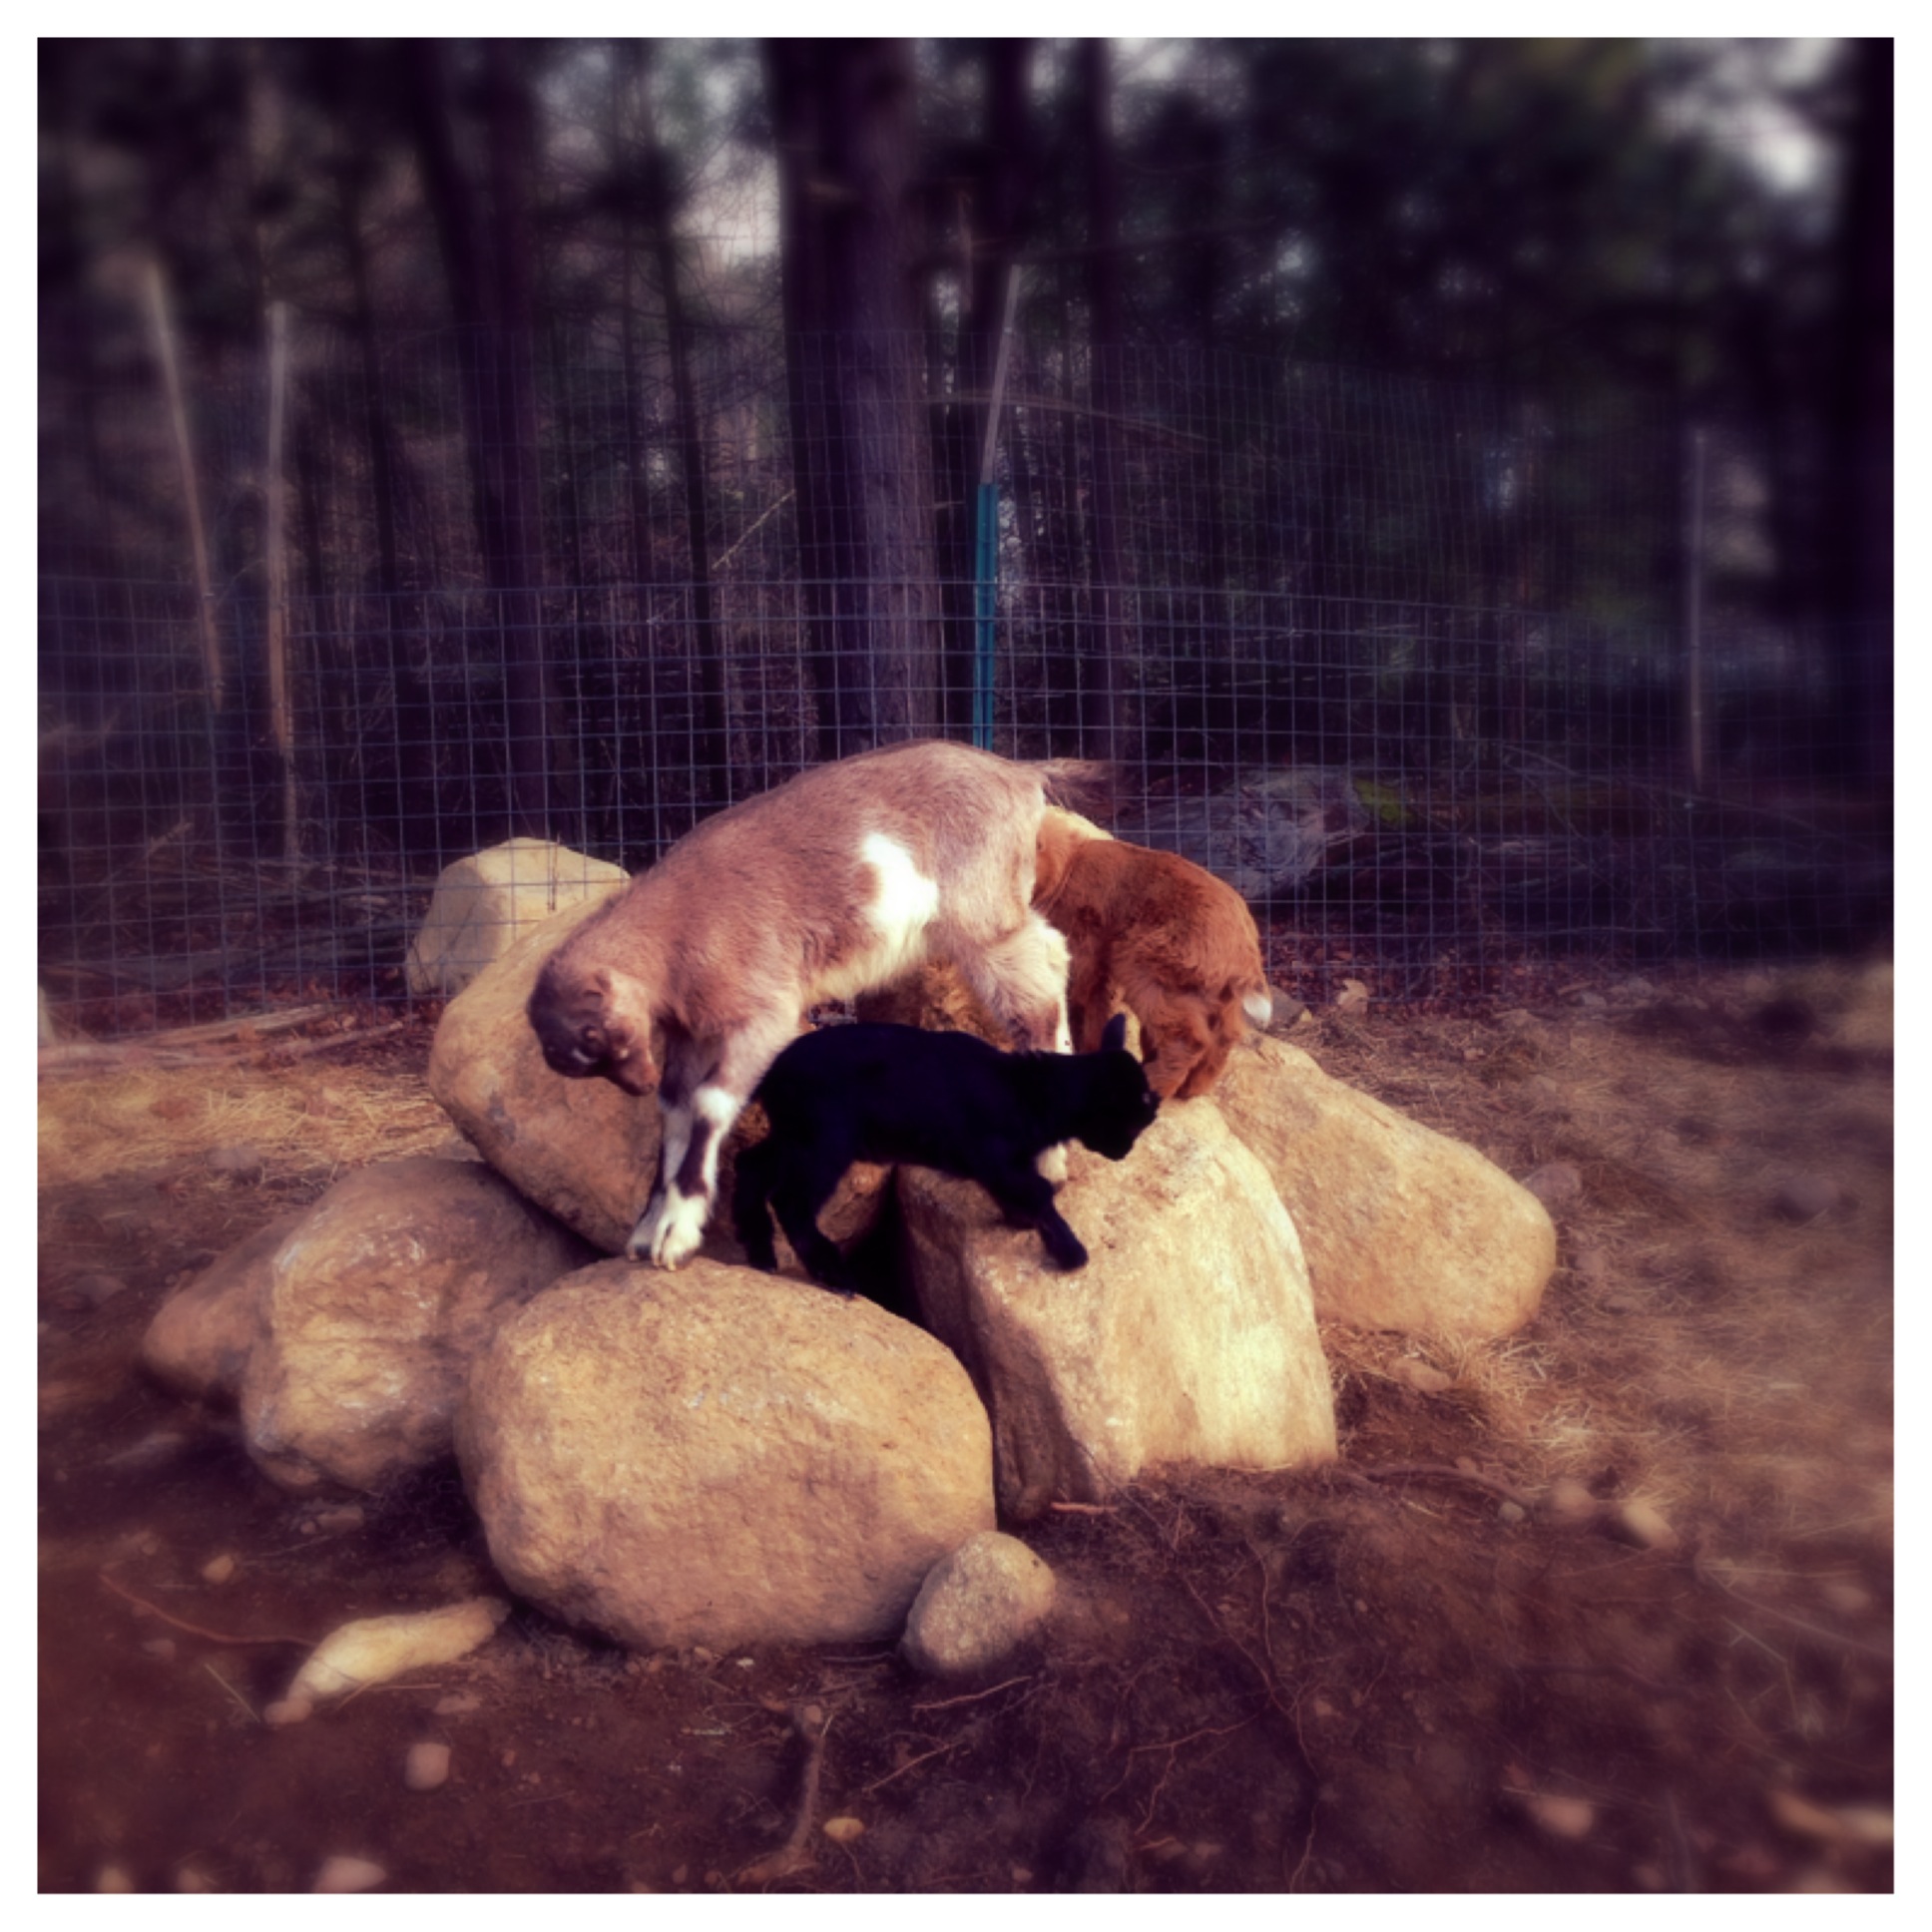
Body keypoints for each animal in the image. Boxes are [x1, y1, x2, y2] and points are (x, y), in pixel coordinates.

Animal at [529, 737, 1097, 1267]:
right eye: (583, 1058)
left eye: (595, 1034)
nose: (636, 1083)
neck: (679, 923)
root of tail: (1018, 773)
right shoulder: (692, 1031)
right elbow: (675, 1108)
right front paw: (650, 1229)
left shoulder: (765, 1012)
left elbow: (710, 1103)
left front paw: (677, 1233)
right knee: (1051, 953)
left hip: (980, 916)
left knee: (1033, 1002)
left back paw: (1048, 1162)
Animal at [1035, 803, 1274, 1105]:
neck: (1064, 870)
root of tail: (1245, 947)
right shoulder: (1100, 963)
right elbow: (1097, 1009)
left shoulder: (1082, 949)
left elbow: (1079, 1001)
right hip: (1216, 996)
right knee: (1224, 1037)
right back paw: (1190, 1089)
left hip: (1148, 966)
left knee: (1188, 1039)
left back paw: (1153, 1085)